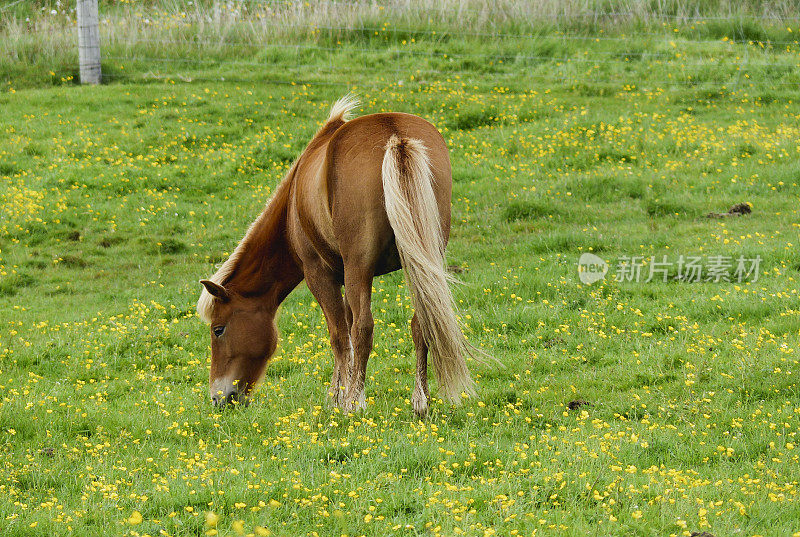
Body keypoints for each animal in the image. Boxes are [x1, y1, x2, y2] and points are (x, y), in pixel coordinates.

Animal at [198, 95, 478, 414]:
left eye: (218, 330)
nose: (219, 398)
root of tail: (395, 134)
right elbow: (346, 328)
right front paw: (340, 391)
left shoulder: (320, 274)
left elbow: (339, 335)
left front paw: (340, 397)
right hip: (421, 264)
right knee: (421, 323)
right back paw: (420, 401)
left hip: (361, 267)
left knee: (363, 328)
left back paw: (356, 402)